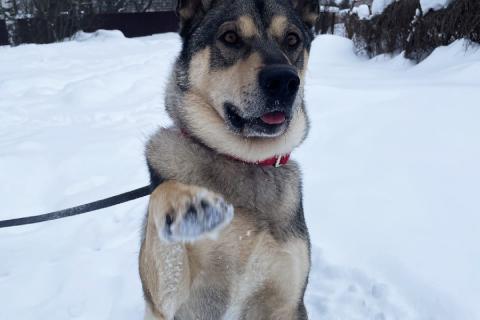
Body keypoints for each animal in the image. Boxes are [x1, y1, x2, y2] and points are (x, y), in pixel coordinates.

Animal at [139, 1, 318, 318]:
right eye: (231, 37)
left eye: (292, 39)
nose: (284, 81)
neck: (245, 160)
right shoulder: (169, 300)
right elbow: (163, 195)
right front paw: (186, 204)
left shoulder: (288, 304)